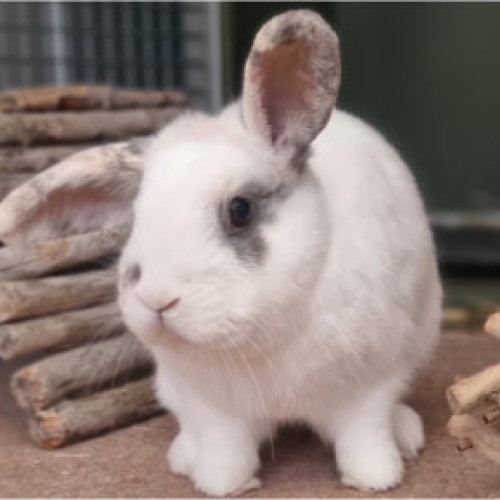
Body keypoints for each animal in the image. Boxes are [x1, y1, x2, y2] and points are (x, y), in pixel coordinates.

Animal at [116, 7, 438, 496]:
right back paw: (183, 457)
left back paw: (408, 434)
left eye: (240, 210)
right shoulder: (212, 408)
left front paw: (375, 478)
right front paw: (224, 484)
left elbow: (364, 434)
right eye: (135, 213)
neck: (263, 334)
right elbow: (224, 449)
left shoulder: (370, 385)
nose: (156, 298)